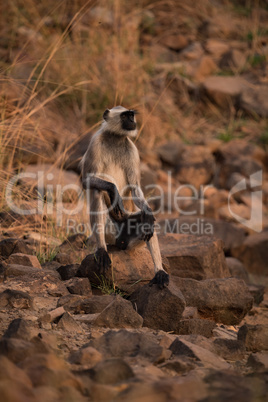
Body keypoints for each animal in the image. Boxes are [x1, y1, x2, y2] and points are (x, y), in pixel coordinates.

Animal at [81, 106, 170, 288]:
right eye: (124, 116)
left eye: (131, 115)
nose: (132, 121)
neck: (116, 138)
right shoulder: (95, 143)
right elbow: (86, 180)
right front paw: (113, 190)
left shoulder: (132, 150)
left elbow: (135, 188)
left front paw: (148, 213)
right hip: (109, 230)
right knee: (97, 190)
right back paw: (102, 249)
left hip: (128, 228)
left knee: (147, 221)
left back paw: (159, 271)